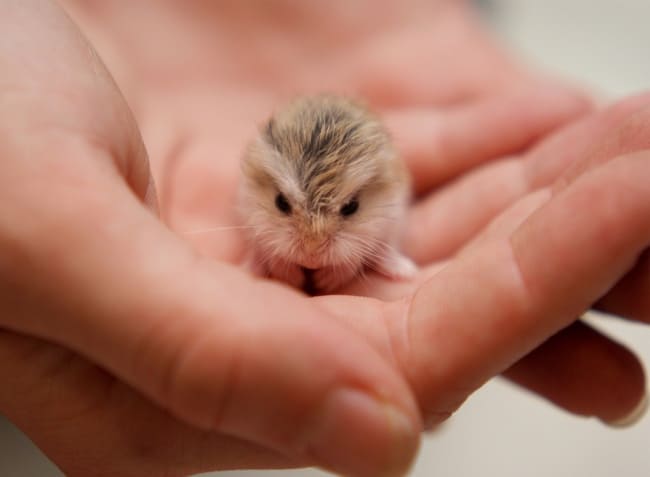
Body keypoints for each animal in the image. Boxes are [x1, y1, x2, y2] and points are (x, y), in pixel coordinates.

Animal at [238, 95, 416, 292]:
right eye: (281, 202)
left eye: (351, 207)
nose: (311, 260)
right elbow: (270, 250)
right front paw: (293, 278)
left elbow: (354, 258)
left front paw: (324, 282)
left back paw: (404, 271)